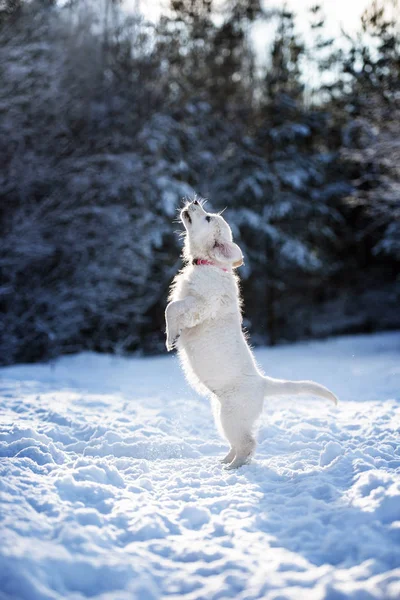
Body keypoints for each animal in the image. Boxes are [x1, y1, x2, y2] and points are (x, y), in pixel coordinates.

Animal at [165, 197, 338, 468]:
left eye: (207, 218)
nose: (193, 201)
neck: (209, 264)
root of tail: (263, 383)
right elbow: (171, 307)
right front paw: (172, 335)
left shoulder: (201, 305)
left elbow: (172, 308)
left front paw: (170, 338)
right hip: (222, 414)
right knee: (238, 444)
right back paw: (224, 461)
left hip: (231, 416)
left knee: (248, 445)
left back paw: (233, 467)